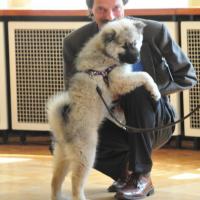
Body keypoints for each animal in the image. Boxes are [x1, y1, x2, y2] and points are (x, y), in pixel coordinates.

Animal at [47, 18, 160, 200]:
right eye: (125, 45)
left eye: (135, 43)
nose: (136, 58)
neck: (105, 52)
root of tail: (64, 129)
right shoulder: (119, 80)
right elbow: (144, 75)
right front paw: (155, 92)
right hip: (86, 154)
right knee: (76, 182)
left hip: (62, 157)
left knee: (55, 181)